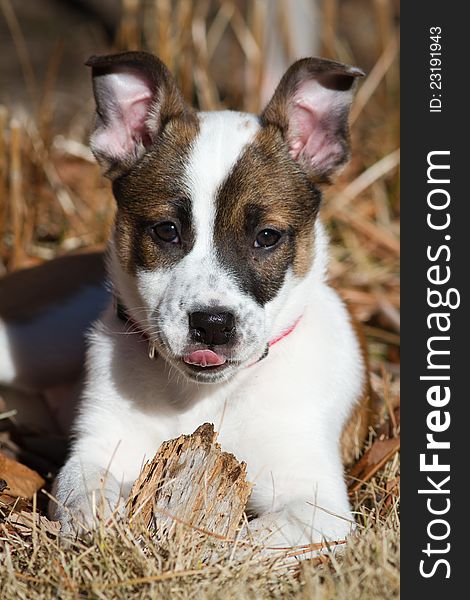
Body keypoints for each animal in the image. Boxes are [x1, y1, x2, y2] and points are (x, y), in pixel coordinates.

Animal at [40, 51, 370, 548]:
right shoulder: (97, 446)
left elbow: (246, 542)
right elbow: (83, 489)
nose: (212, 325)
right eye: (166, 231)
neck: (202, 397)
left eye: (267, 237)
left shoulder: (317, 504)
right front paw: (100, 527)